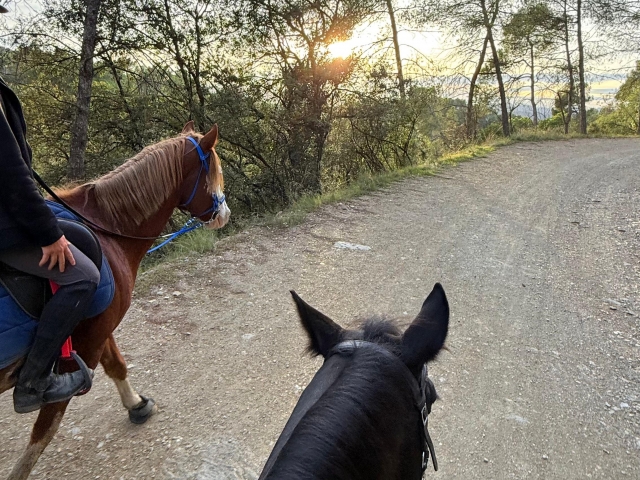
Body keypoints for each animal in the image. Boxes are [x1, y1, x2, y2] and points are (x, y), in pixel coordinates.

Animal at [0, 121, 230, 480]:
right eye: (215, 170)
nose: (225, 213)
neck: (108, 231)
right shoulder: (86, 346)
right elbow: (45, 429)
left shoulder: (98, 330)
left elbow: (117, 365)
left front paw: (136, 404)